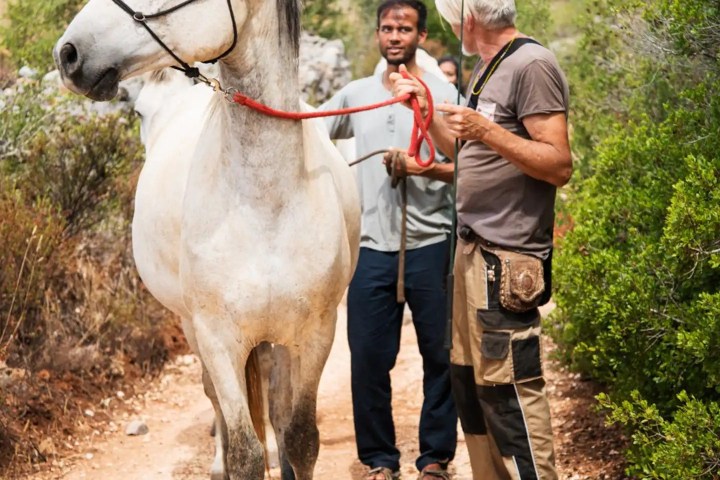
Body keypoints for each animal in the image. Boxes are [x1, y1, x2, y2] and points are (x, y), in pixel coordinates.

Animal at [54, 1, 361, 479]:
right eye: (138, 113)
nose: (67, 53)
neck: (265, 205)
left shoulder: (316, 333)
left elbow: (300, 437)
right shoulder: (218, 338)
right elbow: (244, 451)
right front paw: (234, 458)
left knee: (275, 409)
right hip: (190, 326)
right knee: (217, 401)